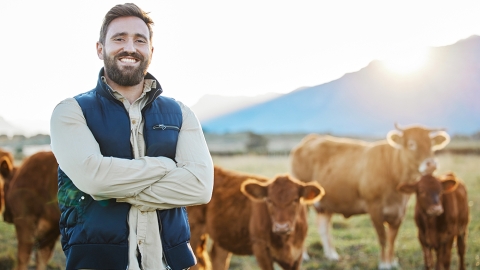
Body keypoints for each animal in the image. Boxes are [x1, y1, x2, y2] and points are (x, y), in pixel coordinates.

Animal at [187, 166, 322, 270]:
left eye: (295, 200)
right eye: (269, 200)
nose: (281, 227)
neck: (285, 242)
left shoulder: (297, 254)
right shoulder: (260, 249)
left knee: (218, 257)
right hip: (193, 231)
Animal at [288, 123, 450, 268]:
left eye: (432, 145)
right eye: (411, 144)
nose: (431, 164)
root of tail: (310, 138)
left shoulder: (399, 212)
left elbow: (392, 239)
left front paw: (392, 262)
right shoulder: (375, 209)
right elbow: (383, 238)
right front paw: (384, 264)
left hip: (326, 203)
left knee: (323, 226)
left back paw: (331, 254)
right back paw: (304, 256)